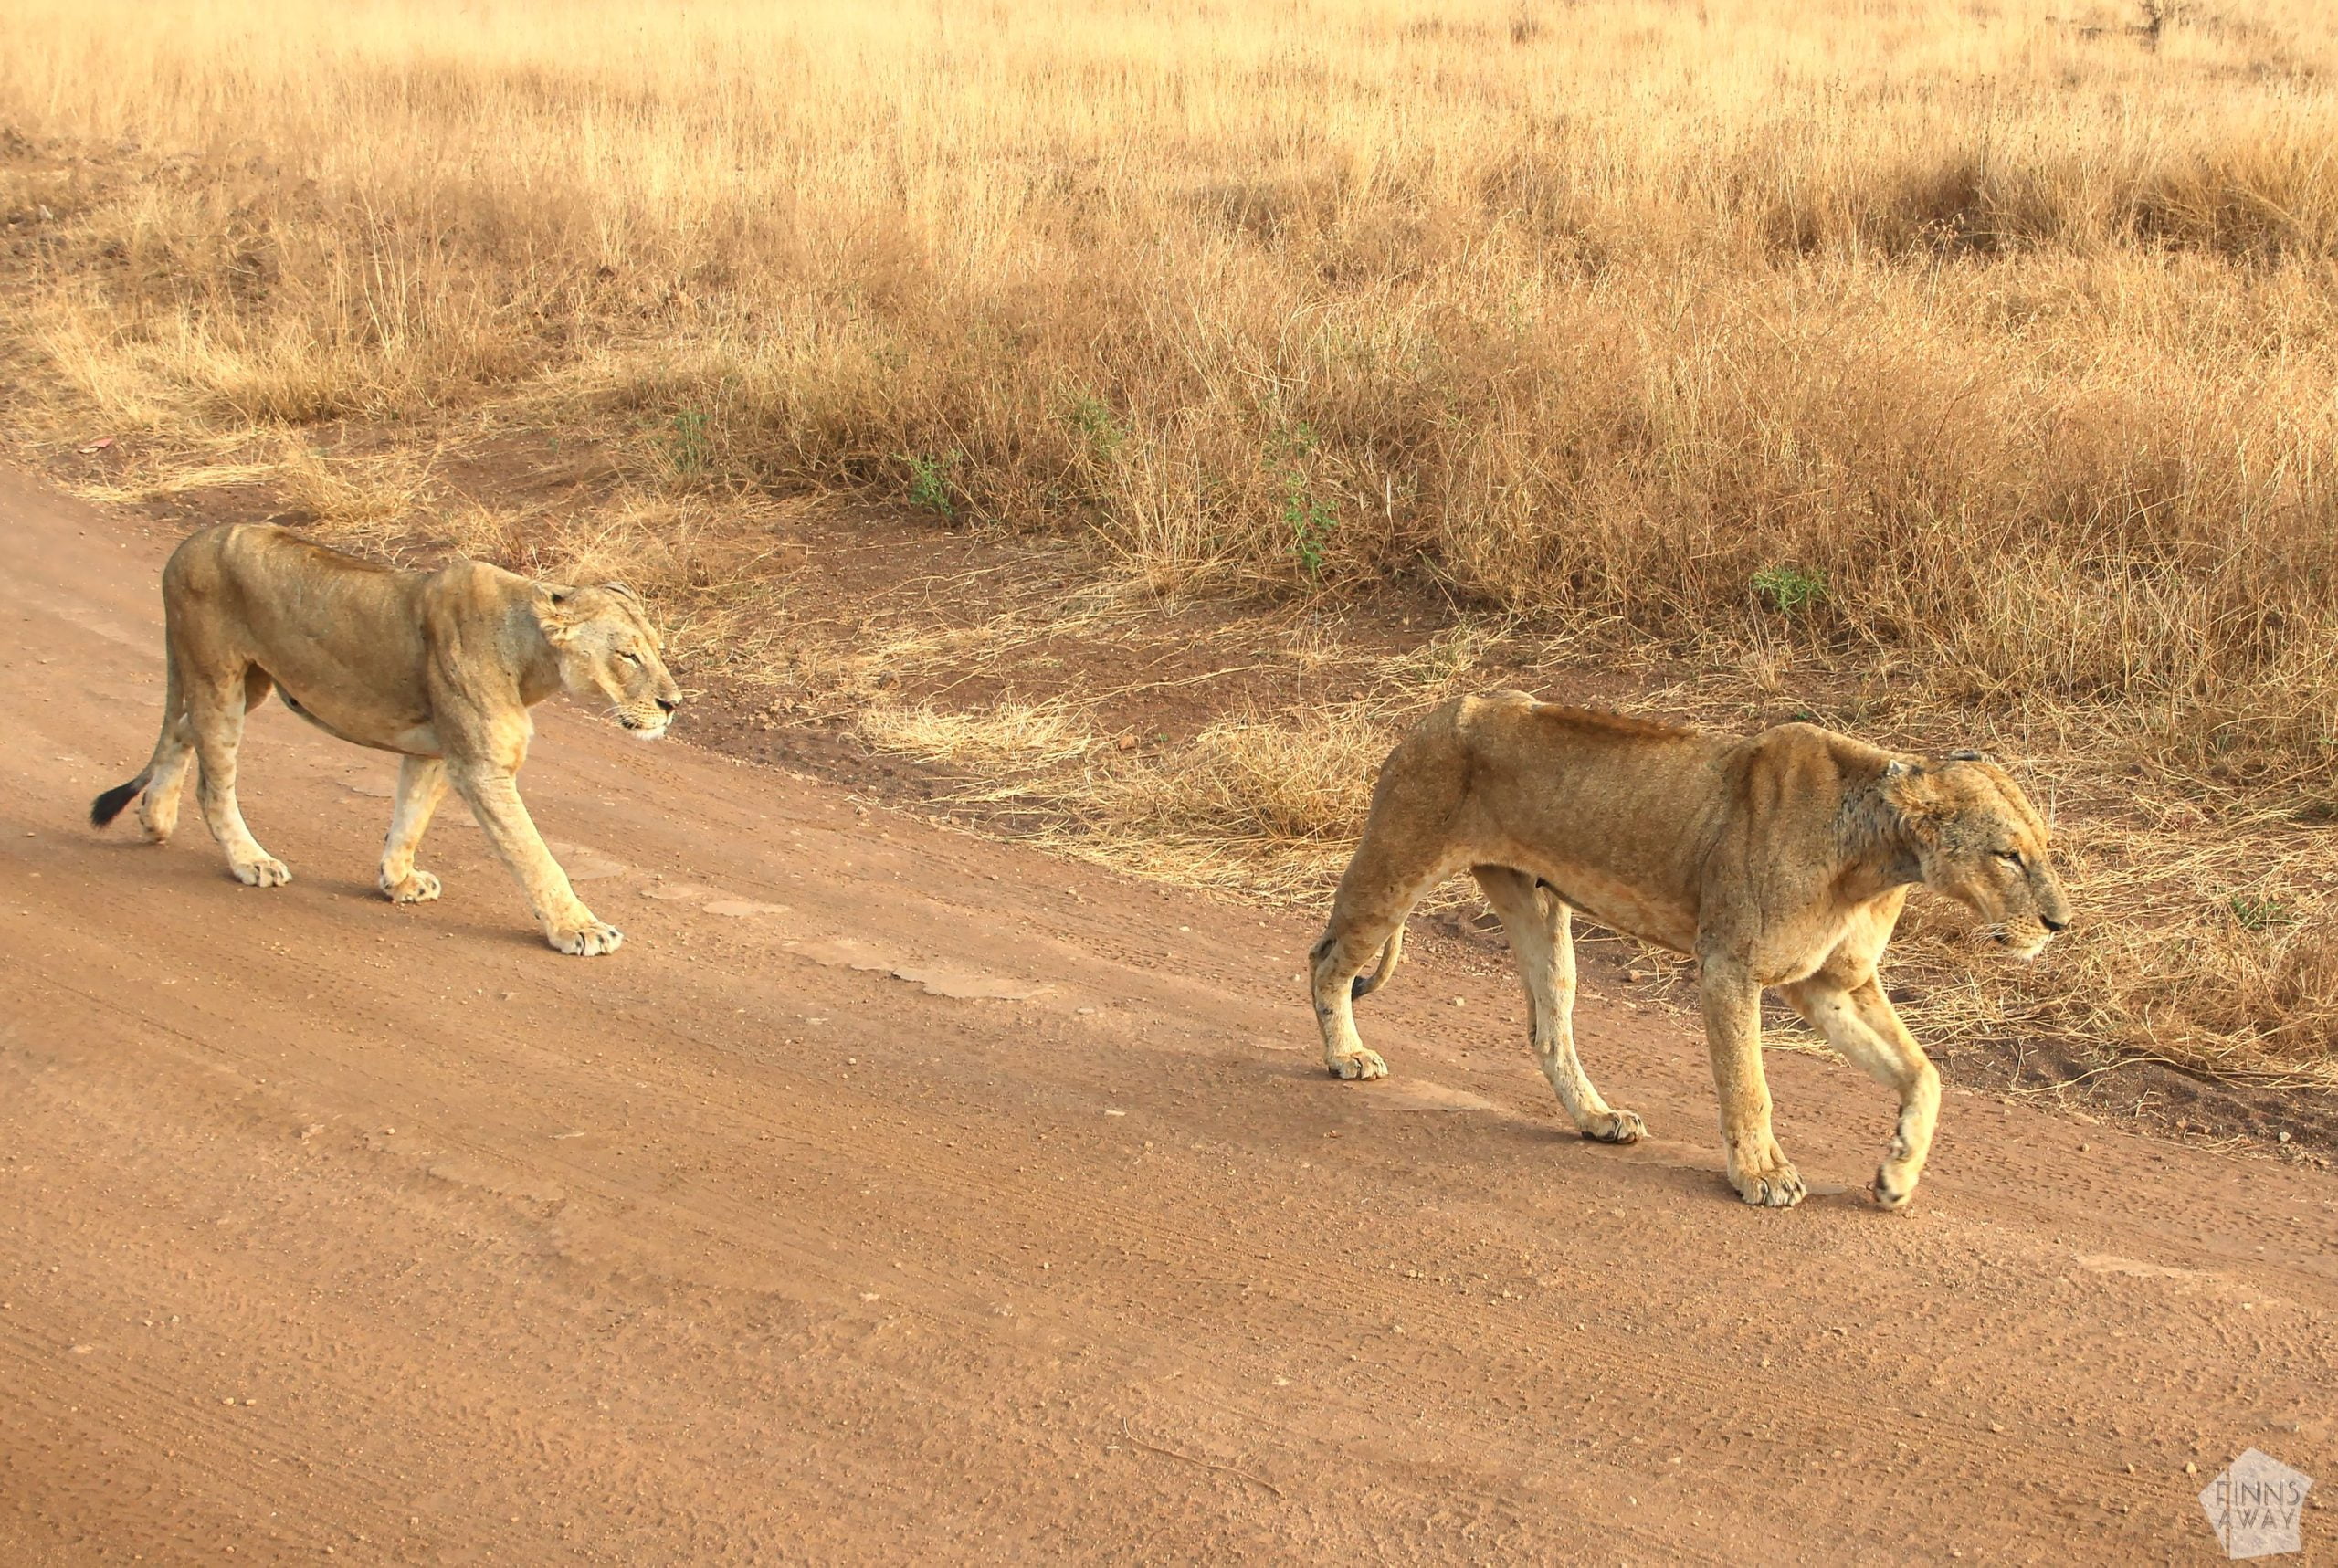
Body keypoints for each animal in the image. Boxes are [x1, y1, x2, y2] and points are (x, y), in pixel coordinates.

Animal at [90, 523, 681, 956]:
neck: (531, 654)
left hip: (247, 683)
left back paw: (155, 816)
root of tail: (190, 542)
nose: (673, 704)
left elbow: (410, 818)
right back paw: (249, 861)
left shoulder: (434, 751)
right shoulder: (481, 769)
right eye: (627, 655)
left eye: (656, 649)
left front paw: (398, 882)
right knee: (213, 784)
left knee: (179, 729)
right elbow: (535, 855)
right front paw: (579, 928)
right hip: (220, 679)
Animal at [1309, 692, 2071, 1212]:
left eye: (2043, 849)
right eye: (2007, 855)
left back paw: (1598, 1120)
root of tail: (1444, 708)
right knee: (1327, 959)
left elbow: (1923, 1074)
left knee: (1548, 1031)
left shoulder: (1834, 983)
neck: (1879, 859)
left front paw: (1896, 1176)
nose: (2058, 922)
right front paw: (1762, 1175)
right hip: (1396, 867)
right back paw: (1347, 1055)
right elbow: (1748, 1084)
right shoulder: (1729, 965)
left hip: (1539, 912)